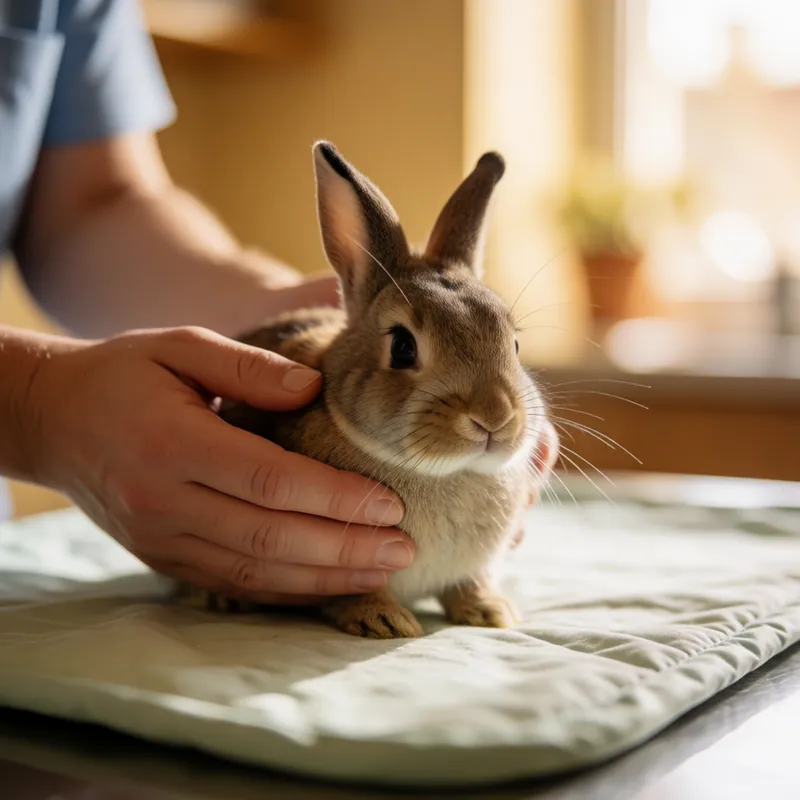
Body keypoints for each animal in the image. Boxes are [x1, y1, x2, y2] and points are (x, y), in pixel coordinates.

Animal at [177, 141, 557, 639]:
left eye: (513, 344)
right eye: (402, 347)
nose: (494, 417)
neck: (444, 473)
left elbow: (466, 585)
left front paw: (491, 612)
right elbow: (352, 593)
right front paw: (386, 621)